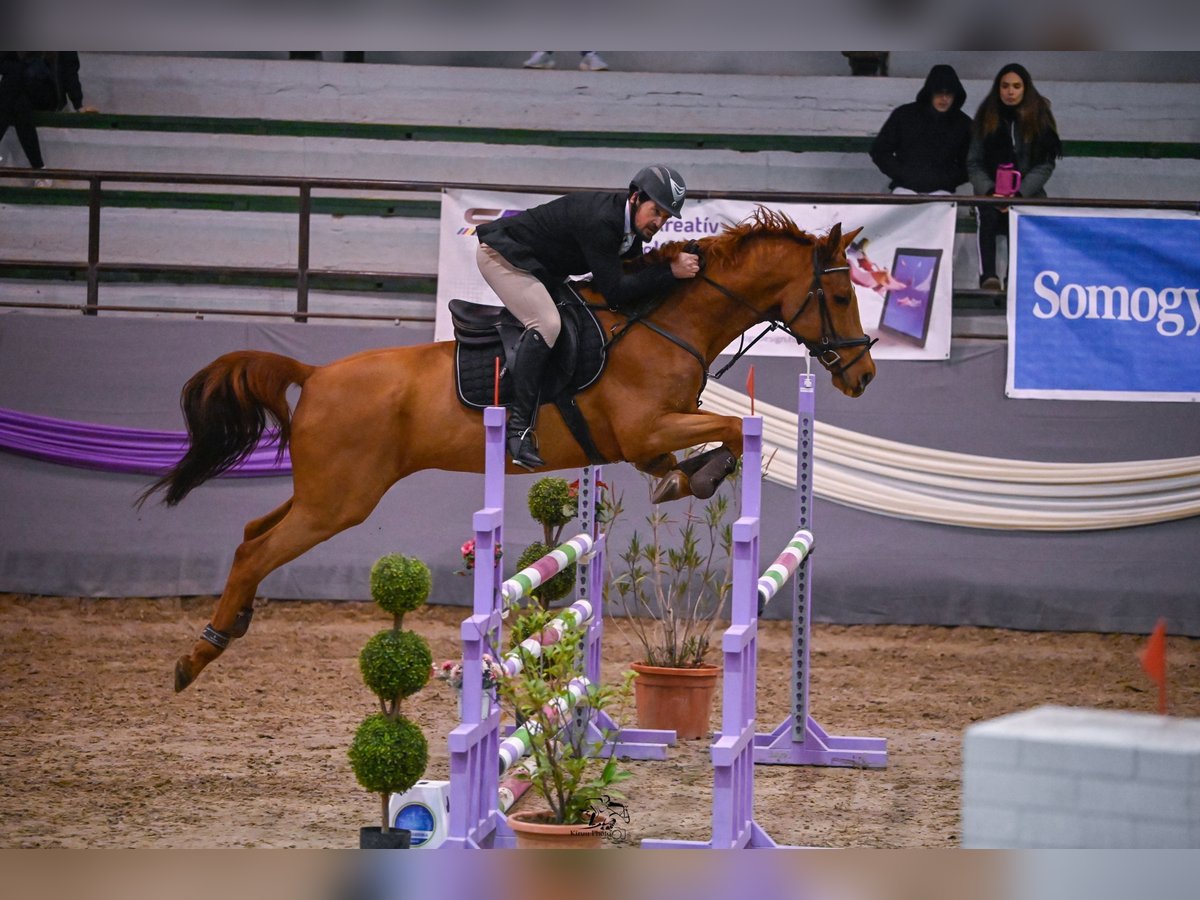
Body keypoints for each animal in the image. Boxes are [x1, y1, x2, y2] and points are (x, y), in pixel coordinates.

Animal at [154, 210, 878, 691]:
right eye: (842, 295)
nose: (864, 376)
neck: (666, 322)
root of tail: (316, 373)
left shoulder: (647, 440)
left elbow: (692, 452)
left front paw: (681, 480)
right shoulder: (646, 429)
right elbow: (727, 430)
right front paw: (700, 476)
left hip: (324, 495)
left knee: (253, 533)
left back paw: (231, 625)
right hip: (338, 501)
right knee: (257, 550)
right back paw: (196, 656)